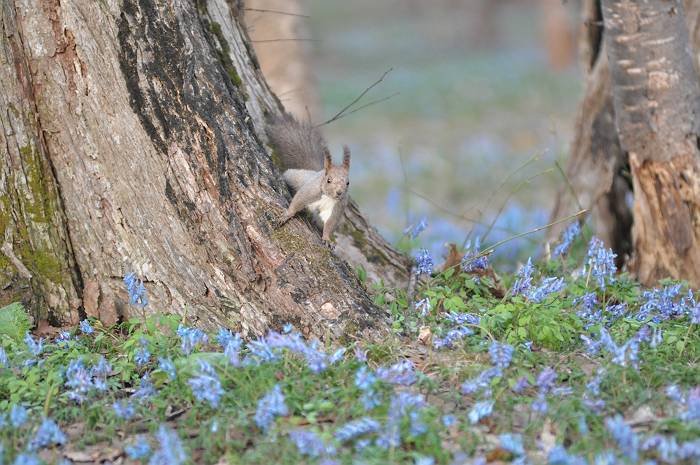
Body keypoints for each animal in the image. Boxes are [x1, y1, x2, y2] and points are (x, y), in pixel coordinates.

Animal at [266, 114, 350, 243]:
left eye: (348, 183)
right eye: (329, 180)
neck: (327, 196)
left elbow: (330, 223)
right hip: (296, 177)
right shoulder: (310, 192)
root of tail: (315, 172)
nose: (339, 193)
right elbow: (297, 201)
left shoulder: (338, 206)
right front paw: (287, 215)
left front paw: (326, 238)